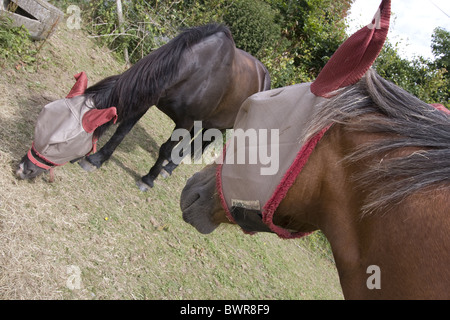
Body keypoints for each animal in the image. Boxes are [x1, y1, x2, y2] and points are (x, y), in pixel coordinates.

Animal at [15, 25, 270, 190]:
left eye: (61, 144)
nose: (23, 168)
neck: (196, 68)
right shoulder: (146, 100)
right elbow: (121, 131)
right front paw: (96, 159)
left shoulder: (184, 121)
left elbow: (165, 150)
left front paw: (148, 179)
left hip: (220, 126)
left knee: (199, 144)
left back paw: (166, 170)